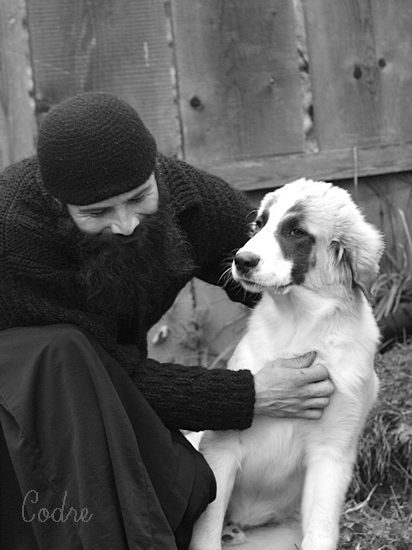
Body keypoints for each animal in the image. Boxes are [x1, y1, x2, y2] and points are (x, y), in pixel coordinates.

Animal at [190, 179, 384, 548]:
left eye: (295, 231)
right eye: (259, 224)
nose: (242, 260)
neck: (299, 327)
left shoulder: (331, 453)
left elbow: (320, 532)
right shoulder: (220, 446)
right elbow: (205, 531)